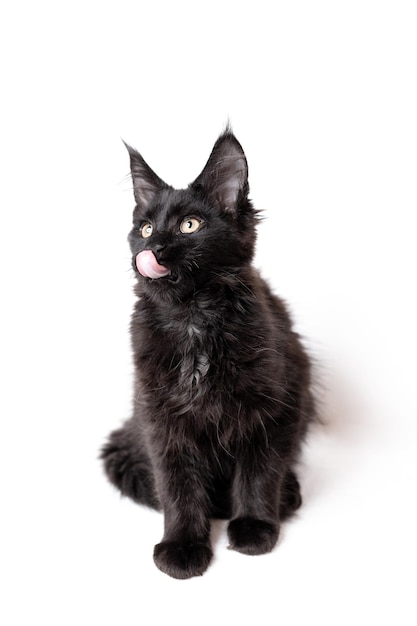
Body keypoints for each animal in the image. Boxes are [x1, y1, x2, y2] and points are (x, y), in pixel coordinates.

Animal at [102, 127, 314, 576]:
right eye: (145, 229)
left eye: (189, 225)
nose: (154, 247)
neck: (193, 319)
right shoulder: (160, 419)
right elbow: (177, 485)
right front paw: (182, 546)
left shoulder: (276, 407)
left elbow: (259, 473)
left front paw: (254, 527)